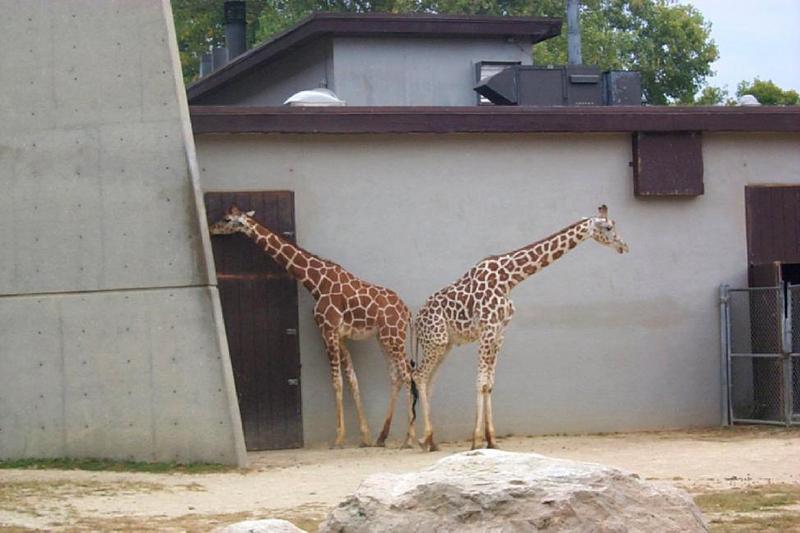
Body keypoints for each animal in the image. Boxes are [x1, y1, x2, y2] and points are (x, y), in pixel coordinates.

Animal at [209, 206, 416, 446]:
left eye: (226, 219)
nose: (211, 229)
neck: (316, 282)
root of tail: (406, 312)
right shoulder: (340, 335)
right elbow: (352, 379)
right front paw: (365, 436)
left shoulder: (327, 330)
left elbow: (337, 381)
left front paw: (338, 438)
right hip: (384, 338)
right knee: (396, 376)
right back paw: (383, 436)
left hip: (393, 337)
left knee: (407, 374)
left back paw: (409, 438)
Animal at [412, 204, 632, 448]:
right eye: (609, 227)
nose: (624, 246)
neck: (509, 280)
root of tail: (415, 322)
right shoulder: (488, 329)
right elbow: (481, 382)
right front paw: (477, 440)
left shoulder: (500, 332)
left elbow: (489, 383)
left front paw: (492, 440)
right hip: (436, 341)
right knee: (419, 376)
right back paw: (425, 437)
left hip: (446, 345)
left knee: (429, 381)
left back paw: (430, 441)